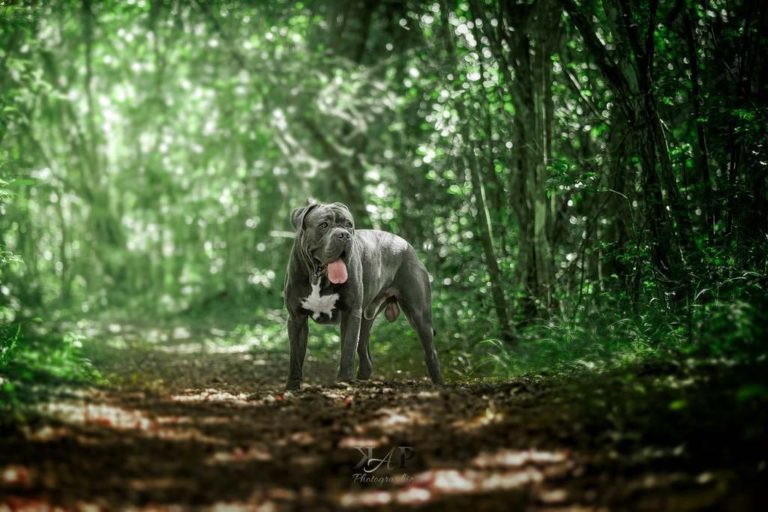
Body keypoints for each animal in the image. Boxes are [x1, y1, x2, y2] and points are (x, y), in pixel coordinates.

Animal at [284, 202, 444, 390]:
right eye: (323, 225)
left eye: (349, 225)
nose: (344, 235)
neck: (318, 278)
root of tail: (407, 245)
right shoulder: (296, 319)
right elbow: (295, 356)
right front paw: (292, 386)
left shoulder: (350, 313)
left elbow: (347, 348)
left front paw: (343, 380)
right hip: (366, 317)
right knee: (364, 348)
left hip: (419, 315)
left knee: (431, 352)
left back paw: (439, 383)